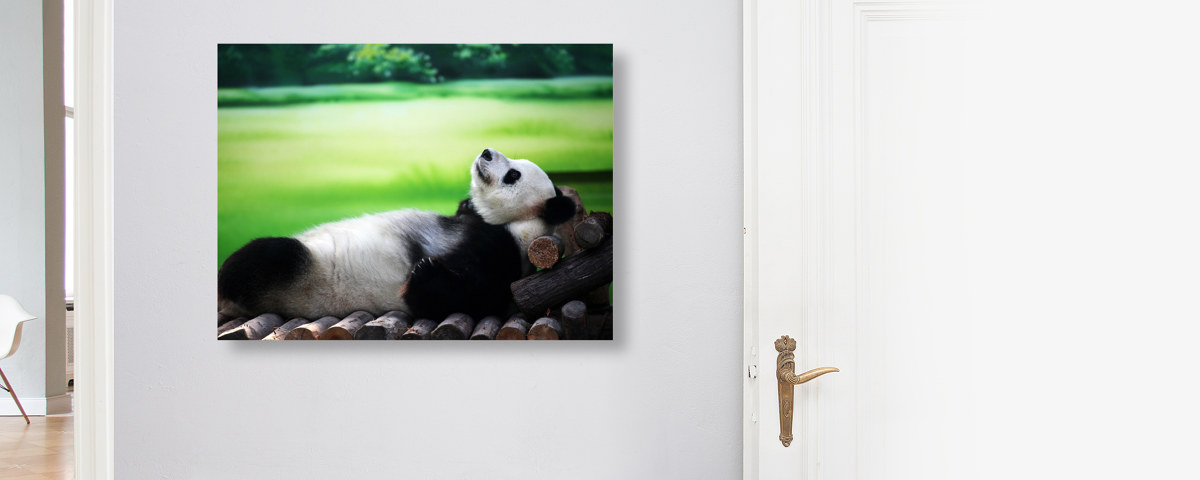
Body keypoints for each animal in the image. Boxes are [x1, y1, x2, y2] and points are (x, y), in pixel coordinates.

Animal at [217, 148, 576, 321]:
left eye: (513, 175)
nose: (486, 152)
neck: (518, 223)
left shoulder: (505, 252)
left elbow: (467, 296)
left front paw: (424, 272)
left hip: (298, 276)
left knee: (265, 257)